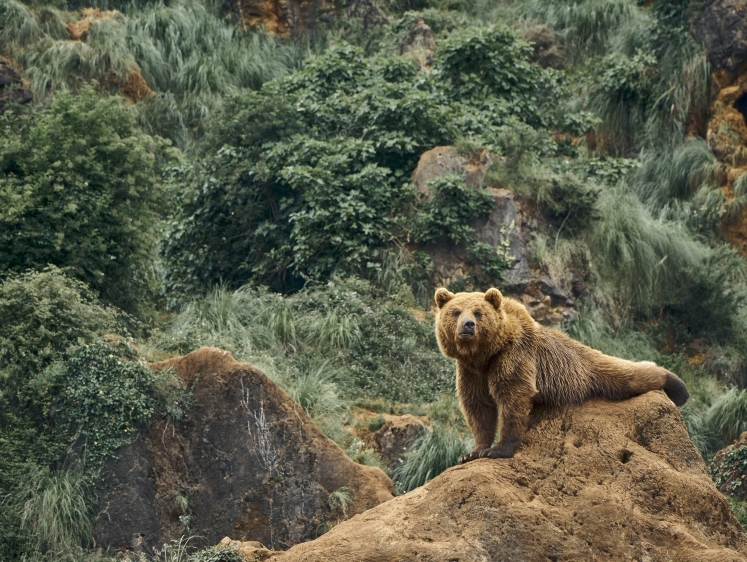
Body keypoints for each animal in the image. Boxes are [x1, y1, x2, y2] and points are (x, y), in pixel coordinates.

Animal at [436, 286, 692, 462]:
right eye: (455, 311)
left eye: (478, 312)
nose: (468, 325)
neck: (485, 354)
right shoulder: (471, 372)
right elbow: (478, 406)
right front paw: (473, 452)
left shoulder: (514, 355)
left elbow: (513, 396)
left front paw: (498, 449)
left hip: (586, 369)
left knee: (627, 374)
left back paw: (678, 388)